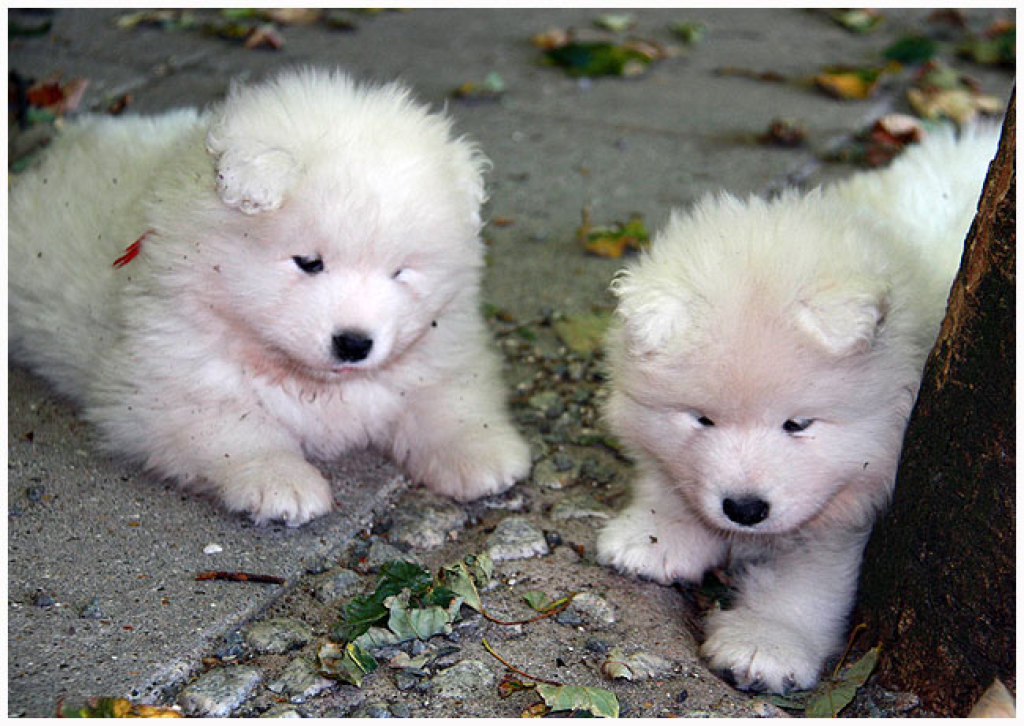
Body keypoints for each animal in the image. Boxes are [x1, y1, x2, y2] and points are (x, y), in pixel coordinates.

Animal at [8, 68, 531, 526]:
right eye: (308, 262)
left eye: (399, 271)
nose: (355, 344)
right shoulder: (167, 384)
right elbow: (238, 429)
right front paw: (281, 482)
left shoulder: (443, 346)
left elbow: (448, 399)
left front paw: (481, 453)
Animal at [596, 124, 1000, 692]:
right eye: (702, 418)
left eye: (798, 424)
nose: (744, 509)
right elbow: (671, 477)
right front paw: (658, 532)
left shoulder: (849, 505)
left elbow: (808, 579)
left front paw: (765, 641)